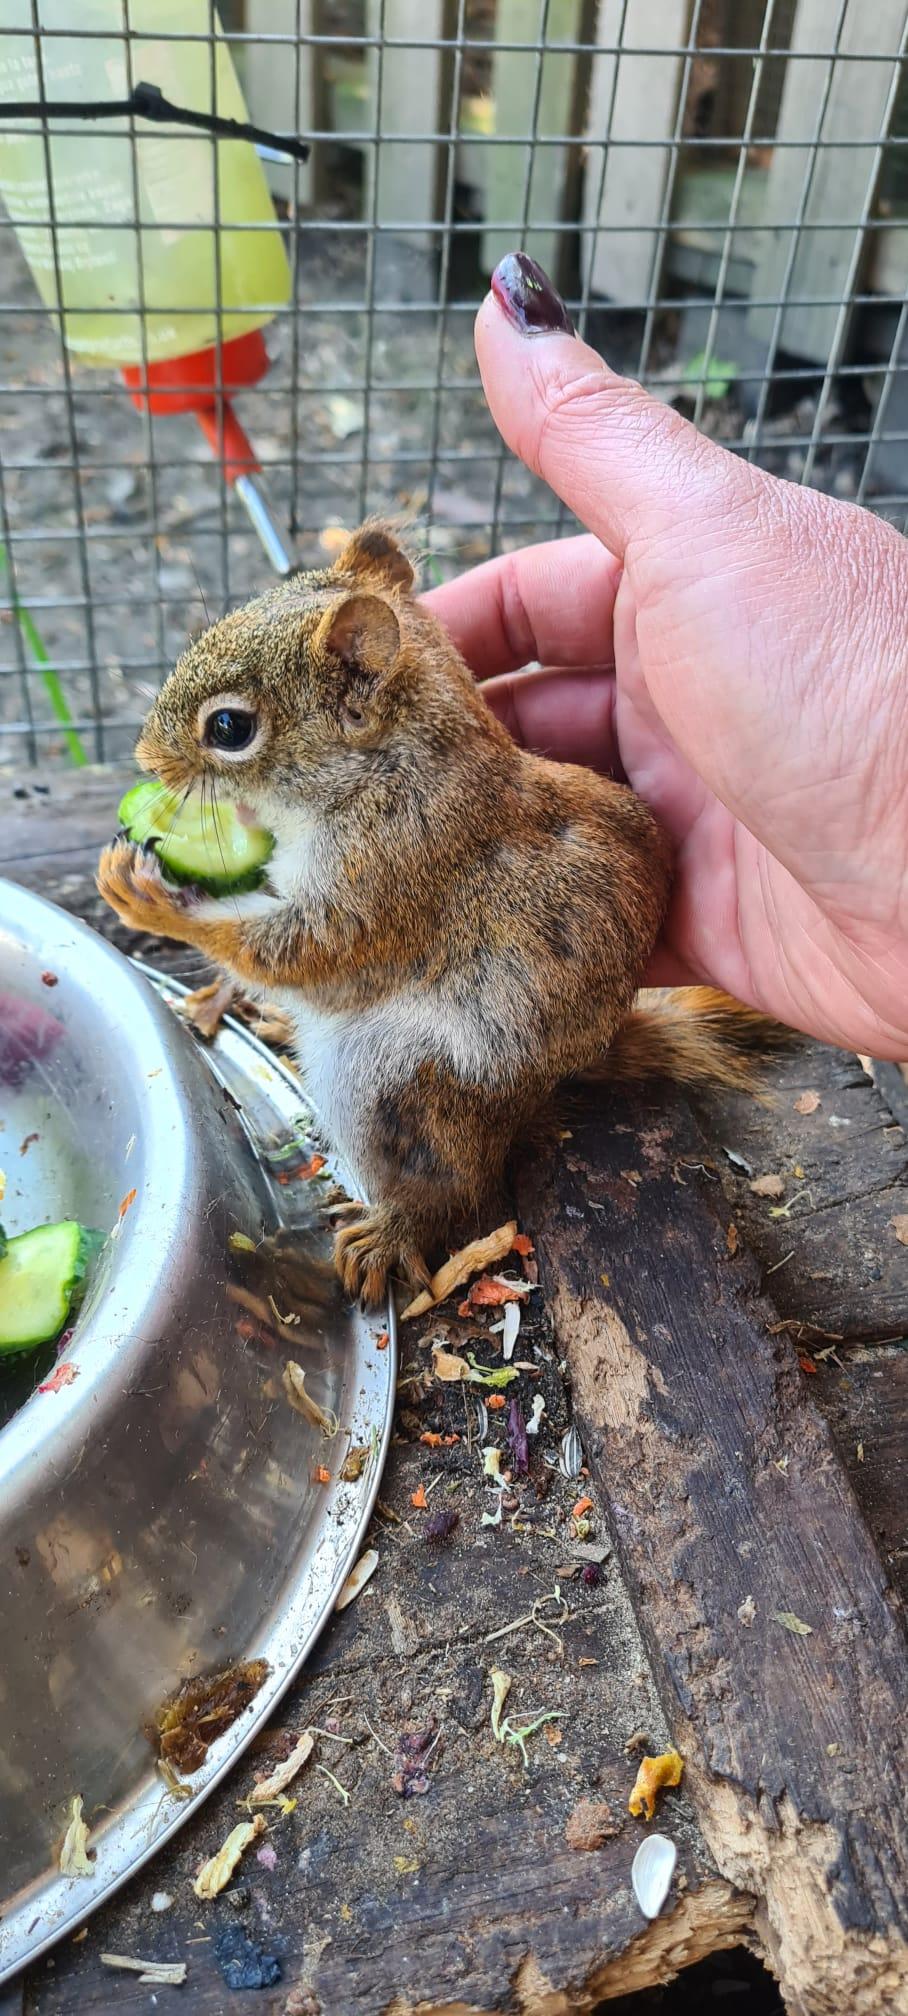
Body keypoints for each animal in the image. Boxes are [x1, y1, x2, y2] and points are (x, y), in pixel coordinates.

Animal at [99, 528, 774, 1298]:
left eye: (230, 727)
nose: (146, 758)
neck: (385, 770)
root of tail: (530, 1100)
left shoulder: (392, 876)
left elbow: (305, 953)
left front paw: (153, 898)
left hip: (397, 1084)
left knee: (452, 1187)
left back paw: (393, 1232)